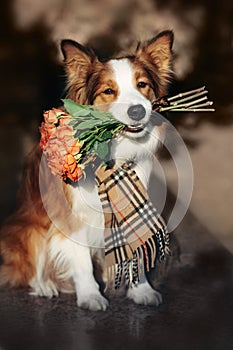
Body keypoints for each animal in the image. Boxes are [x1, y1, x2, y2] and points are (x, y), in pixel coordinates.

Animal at [0, 29, 173, 308]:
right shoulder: (71, 215)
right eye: (109, 91)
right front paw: (90, 295)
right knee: (29, 270)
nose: (137, 111)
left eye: (142, 85)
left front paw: (141, 290)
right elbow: (81, 261)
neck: (113, 155)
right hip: (28, 231)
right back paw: (45, 285)